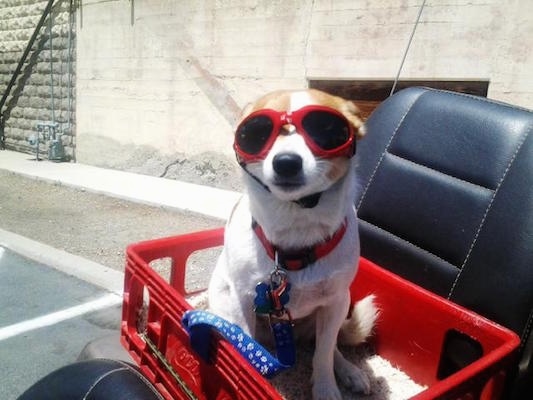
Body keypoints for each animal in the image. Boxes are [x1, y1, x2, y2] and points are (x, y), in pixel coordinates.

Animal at [208, 89, 378, 398]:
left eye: (326, 129)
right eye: (255, 133)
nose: (286, 161)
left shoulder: (334, 303)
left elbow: (323, 355)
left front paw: (326, 389)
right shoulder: (243, 302)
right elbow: (248, 350)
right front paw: (251, 381)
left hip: (338, 307)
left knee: (330, 346)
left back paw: (349, 371)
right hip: (224, 304)